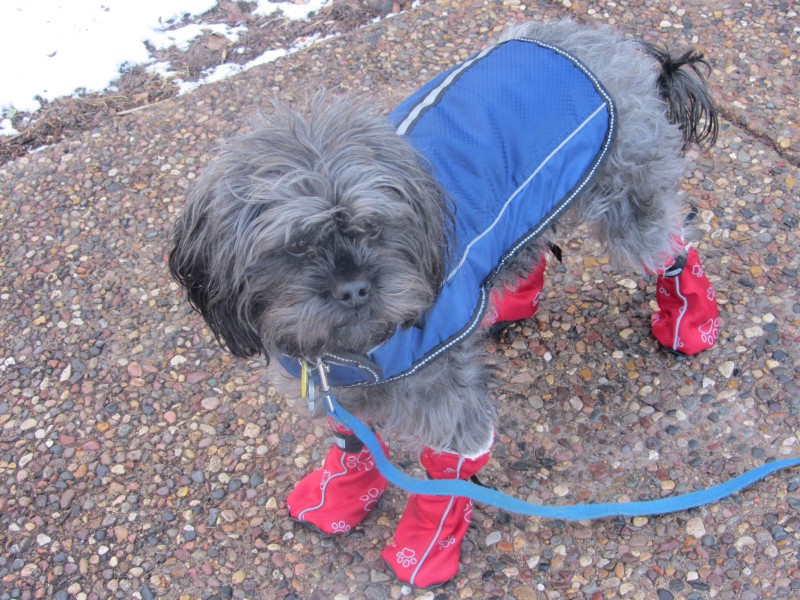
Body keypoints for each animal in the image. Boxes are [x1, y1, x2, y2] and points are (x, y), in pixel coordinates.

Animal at [169, 17, 720, 584]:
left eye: (374, 227)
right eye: (297, 245)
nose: (354, 288)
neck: (351, 350)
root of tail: (614, 44)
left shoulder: (449, 402)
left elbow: (446, 477)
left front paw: (425, 547)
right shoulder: (342, 393)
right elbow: (354, 447)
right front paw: (336, 498)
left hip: (630, 204)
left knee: (676, 243)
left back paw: (690, 323)